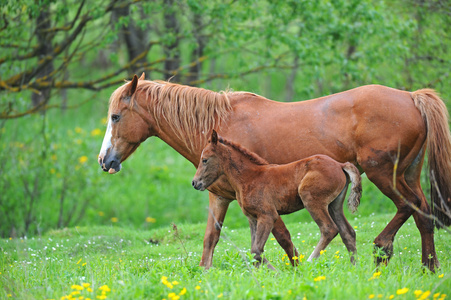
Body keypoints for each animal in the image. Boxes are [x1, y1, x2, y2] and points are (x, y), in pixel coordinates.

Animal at [192, 131, 362, 270]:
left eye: (205, 160)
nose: (195, 183)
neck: (249, 177)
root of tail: (340, 164)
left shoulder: (267, 215)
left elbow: (256, 250)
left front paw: (277, 272)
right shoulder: (252, 218)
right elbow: (254, 252)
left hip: (312, 200)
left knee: (329, 229)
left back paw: (309, 262)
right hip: (334, 205)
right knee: (348, 232)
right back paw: (354, 267)